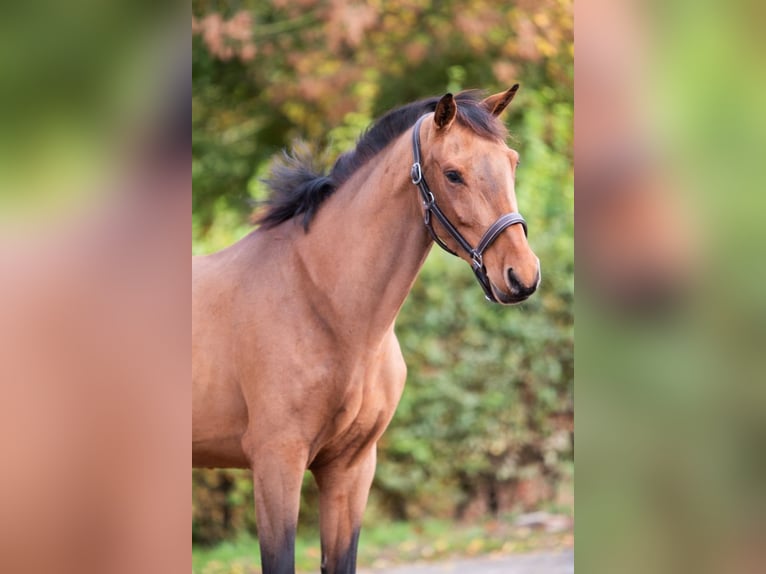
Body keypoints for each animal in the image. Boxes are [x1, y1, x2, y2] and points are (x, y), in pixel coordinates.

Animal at [192, 86, 540, 574]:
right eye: (453, 174)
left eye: (512, 161)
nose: (521, 276)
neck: (323, 303)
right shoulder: (277, 462)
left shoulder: (351, 467)